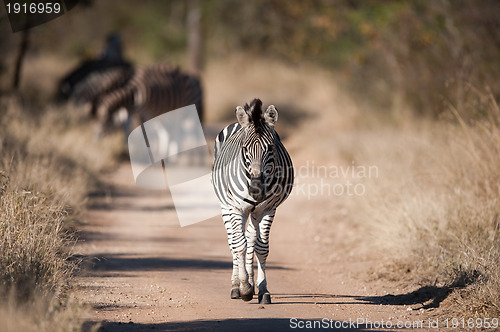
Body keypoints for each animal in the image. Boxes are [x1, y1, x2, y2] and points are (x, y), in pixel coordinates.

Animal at [210, 98, 292, 304]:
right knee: (233, 240)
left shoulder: (268, 208)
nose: (256, 189)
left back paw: (249, 281)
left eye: (270, 148)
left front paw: (262, 289)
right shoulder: (237, 208)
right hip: (226, 206)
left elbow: (261, 248)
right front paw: (244, 289)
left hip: (254, 212)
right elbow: (239, 244)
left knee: (251, 238)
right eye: (245, 149)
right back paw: (236, 286)